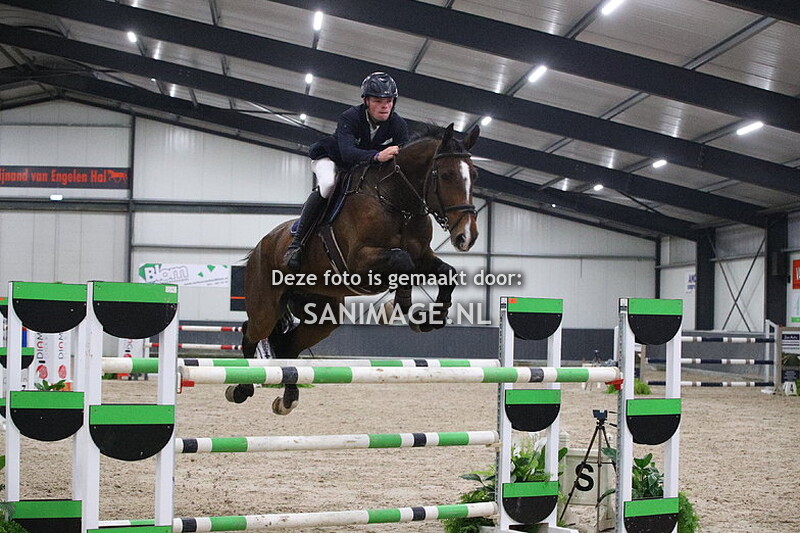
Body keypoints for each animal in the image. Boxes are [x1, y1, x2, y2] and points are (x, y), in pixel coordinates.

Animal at [228, 123, 480, 414]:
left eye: (474, 175)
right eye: (447, 175)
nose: (467, 236)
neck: (396, 202)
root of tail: (261, 245)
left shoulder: (422, 257)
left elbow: (446, 273)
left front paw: (431, 319)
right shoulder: (359, 263)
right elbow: (402, 261)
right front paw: (402, 309)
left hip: (322, 314)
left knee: (286, 345)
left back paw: (288, 398)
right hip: (266, 305)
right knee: (252, 332)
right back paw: (241, 388)